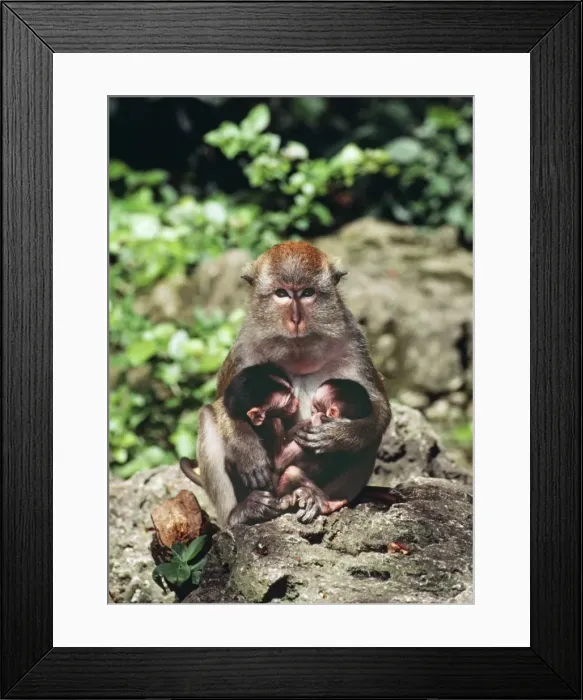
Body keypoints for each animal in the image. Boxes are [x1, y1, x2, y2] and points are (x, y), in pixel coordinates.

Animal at [184, 241, 392, 528]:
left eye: (307, 293)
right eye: (281, 294)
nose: (295, 319)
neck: (298, 354)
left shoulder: (354, 345)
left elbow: (378, 408)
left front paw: (338, 435)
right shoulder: (244, 349)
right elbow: (222, 404)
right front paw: (248, 450)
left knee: (370, 438)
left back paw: (321, 499)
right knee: (207, 417)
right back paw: (240, 513)